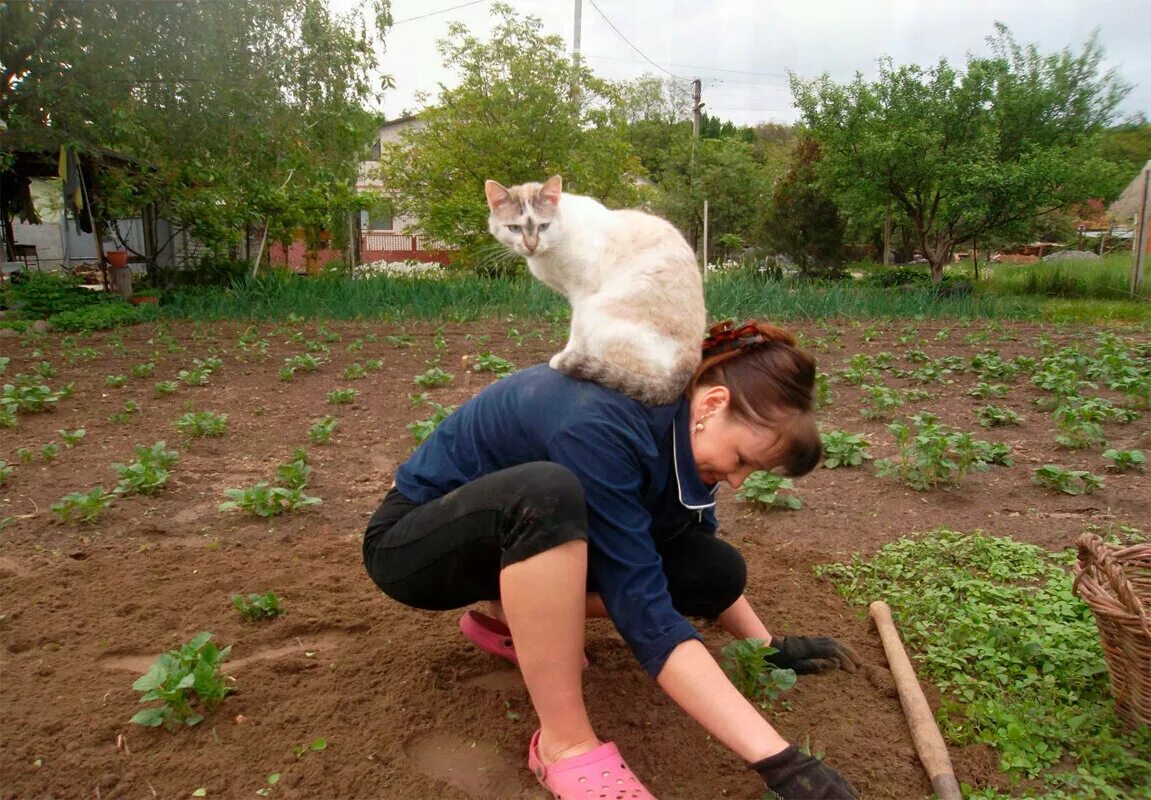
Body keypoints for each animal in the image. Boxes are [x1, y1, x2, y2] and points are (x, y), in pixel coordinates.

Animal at [483, 172, 704, 402]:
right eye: (514, 228)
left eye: (544, 226)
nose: (531, 245)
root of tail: (688, 370)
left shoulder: (582, 293)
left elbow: (576, 330)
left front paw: (565, 355)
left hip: (595, 307)